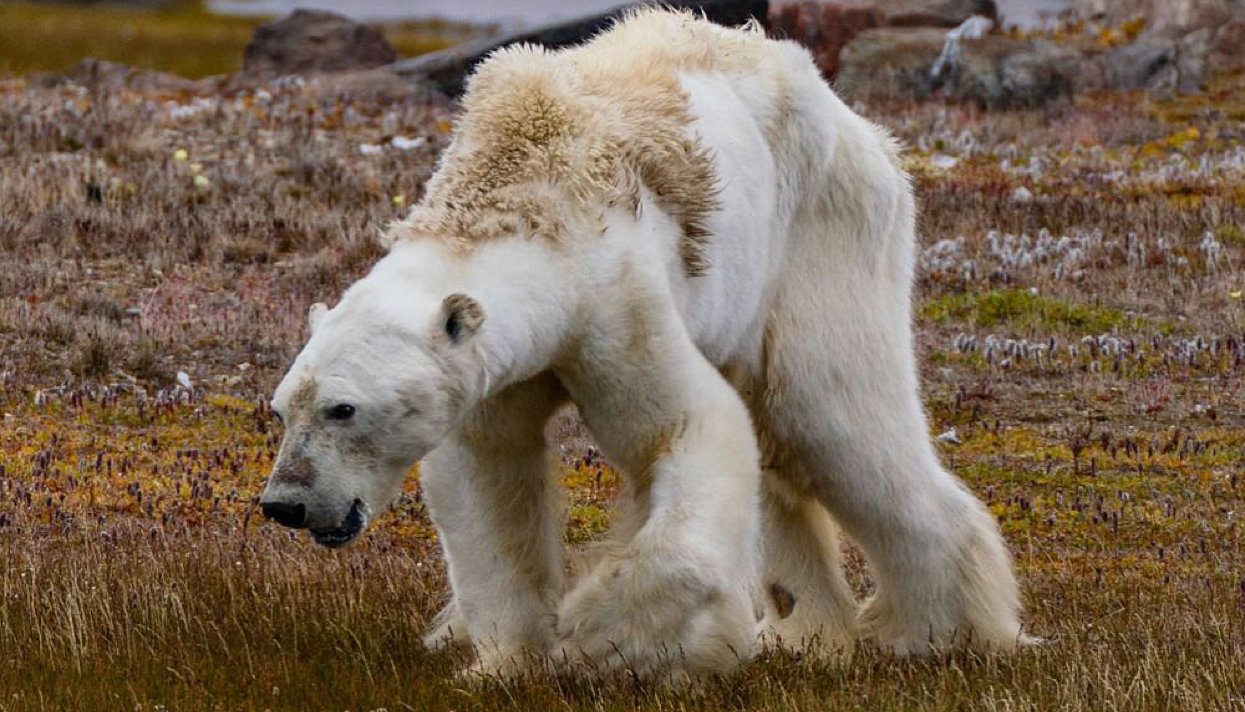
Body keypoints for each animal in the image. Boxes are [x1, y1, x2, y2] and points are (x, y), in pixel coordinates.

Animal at [257, 9, 1025, 677]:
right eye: (282, 408)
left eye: (344, 408)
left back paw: (937, 631)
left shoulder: (614, 299)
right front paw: (504, 662)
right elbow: (487, 478)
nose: (284, 503)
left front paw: (604, 638)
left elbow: (686, 428)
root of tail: (862, 127)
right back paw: (805, 630)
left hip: (820, 233)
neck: (521, 192)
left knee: (831, 417)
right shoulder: (491, 369)